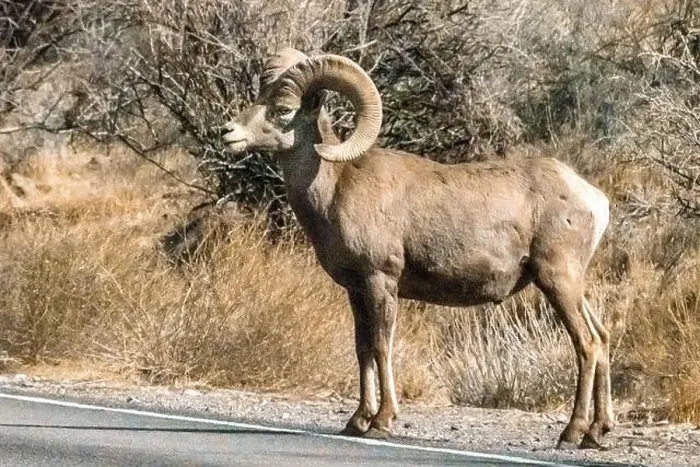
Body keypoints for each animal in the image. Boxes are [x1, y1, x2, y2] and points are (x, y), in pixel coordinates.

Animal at [222, 48, 613, 449]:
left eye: (283, 109)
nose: (228, 132)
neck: (336, 187)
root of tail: (594, 198)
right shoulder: (356, 291)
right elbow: (362, 349)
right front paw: (356, 421)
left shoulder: (381, 281)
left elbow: (382, 346)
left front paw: (382, 422)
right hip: (569, 285)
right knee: (602, 337)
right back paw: (597, 432)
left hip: (557, 280)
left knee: (586, 344)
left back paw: (571, 433)